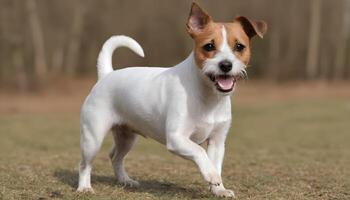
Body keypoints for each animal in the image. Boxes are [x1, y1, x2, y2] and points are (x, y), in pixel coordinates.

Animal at [78, 2, 266, 198]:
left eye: (239, 46)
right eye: (208, 46)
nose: (226, 65)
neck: (208, 97)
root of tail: (107, 74)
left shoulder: (217, 142)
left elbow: (215, 163)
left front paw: (219, 189)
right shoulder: (177, 138)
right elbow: (200, 152)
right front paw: (211, 174)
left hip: (126, 137)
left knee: (115, 156)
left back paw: (125, 180)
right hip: (93, 138)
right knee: (84, 165)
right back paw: (84, 187)